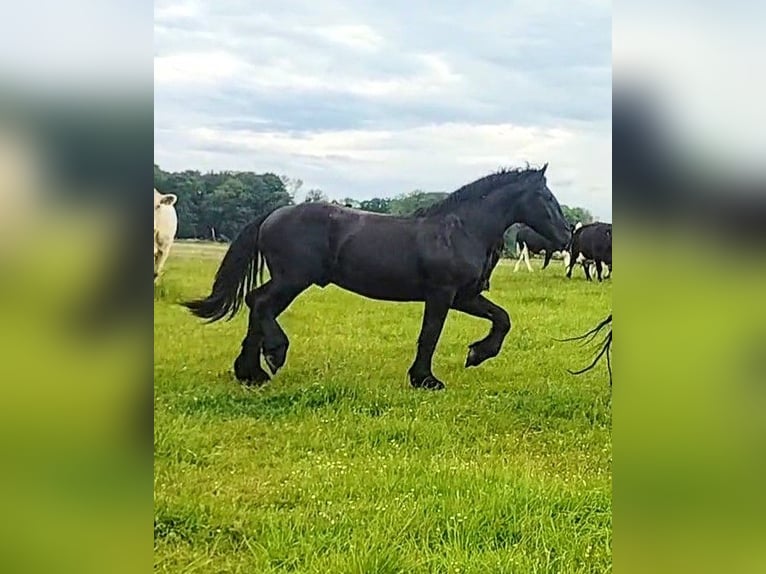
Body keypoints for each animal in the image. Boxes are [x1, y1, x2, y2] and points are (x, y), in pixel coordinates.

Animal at [184, 165, 568, 392]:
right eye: (546, 196)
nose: (565, 237)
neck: (460, 229)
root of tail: (273, 214)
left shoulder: (465, 296)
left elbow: (502, 319)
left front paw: (477, 354)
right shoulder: (441, 294)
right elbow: (430, 336)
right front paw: (425, 379)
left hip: (290, 281)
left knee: (257, 305)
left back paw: (251, 373)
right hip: (293, 279)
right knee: (260, 303)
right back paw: (273, 356)